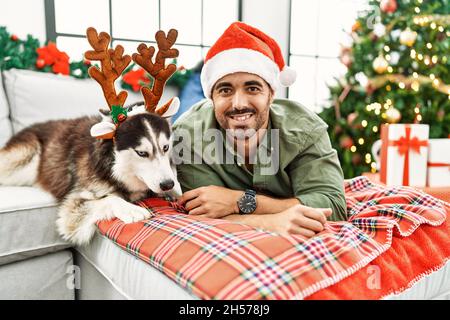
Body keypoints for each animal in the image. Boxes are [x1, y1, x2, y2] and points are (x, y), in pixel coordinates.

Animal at [0, 27, 183, 246]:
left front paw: (176, 191)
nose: (167, 184)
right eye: (141, 153)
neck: (113, 167)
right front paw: (132, 209)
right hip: (23, 160)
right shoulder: (74, 204)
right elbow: (108, 199)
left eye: (165, 148)